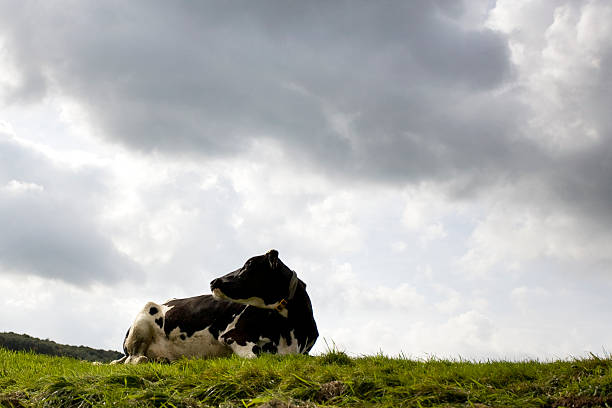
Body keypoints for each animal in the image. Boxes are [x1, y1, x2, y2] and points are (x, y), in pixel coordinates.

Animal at [112, 250, 318, 364]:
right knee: (133, 359)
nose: (214, 281)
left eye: (249, 264)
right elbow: (256, 357)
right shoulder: (233, 335)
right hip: (142, 320)